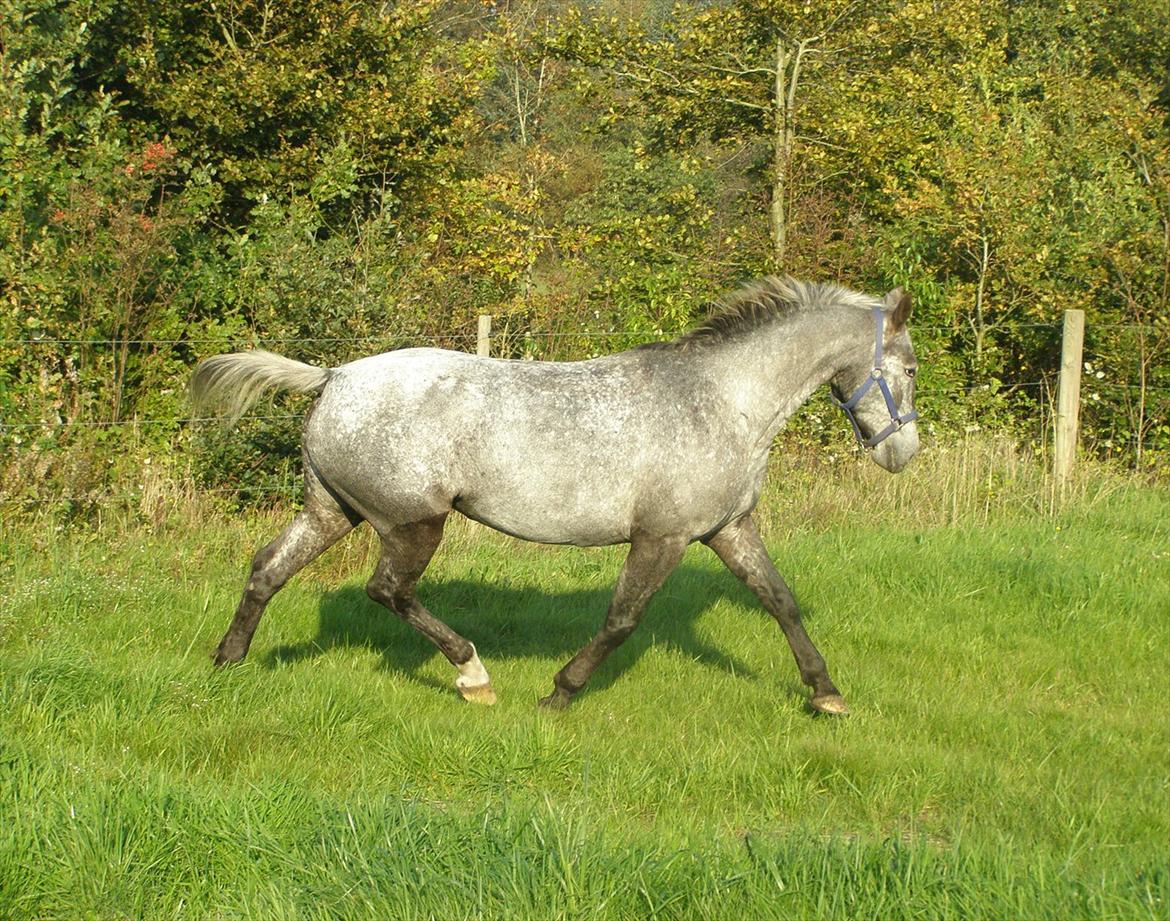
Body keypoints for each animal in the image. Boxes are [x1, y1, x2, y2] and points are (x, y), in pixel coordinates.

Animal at [191, 277, 917, 716]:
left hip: (331, 510)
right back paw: (474, 677)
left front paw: (826, 693)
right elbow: (622, 620)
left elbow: (780, 601)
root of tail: (333, 375)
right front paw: (559, 694)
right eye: (909, 368)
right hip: (413, 522)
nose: (901, 453)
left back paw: (228, 661)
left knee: (269, 567)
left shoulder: (730, 528)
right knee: (388, 590)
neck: (721, 401)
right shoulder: (663, 536)